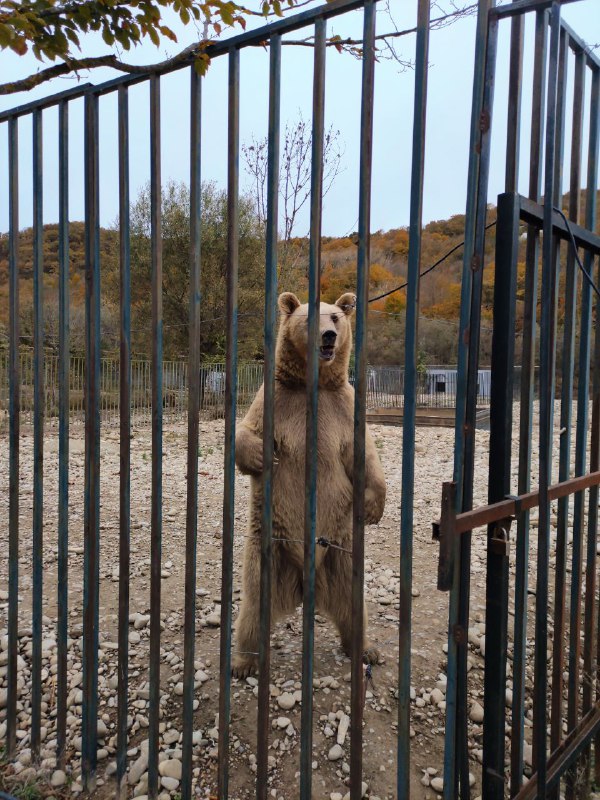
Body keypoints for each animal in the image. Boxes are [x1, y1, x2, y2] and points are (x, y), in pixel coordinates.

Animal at [232, 290, 386, 680]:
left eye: (336, 316)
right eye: (310, 317)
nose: (329, 336)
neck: (311, 386)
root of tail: (306, 584)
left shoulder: (343, 407)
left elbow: (365, 454)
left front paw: (373, 505)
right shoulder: (277, 400)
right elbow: (246, 429)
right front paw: (261, 457)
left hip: (341, 552)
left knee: (352, 602)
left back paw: (365, 648)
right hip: (269, 549)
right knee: (253, 605)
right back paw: (244, 661)